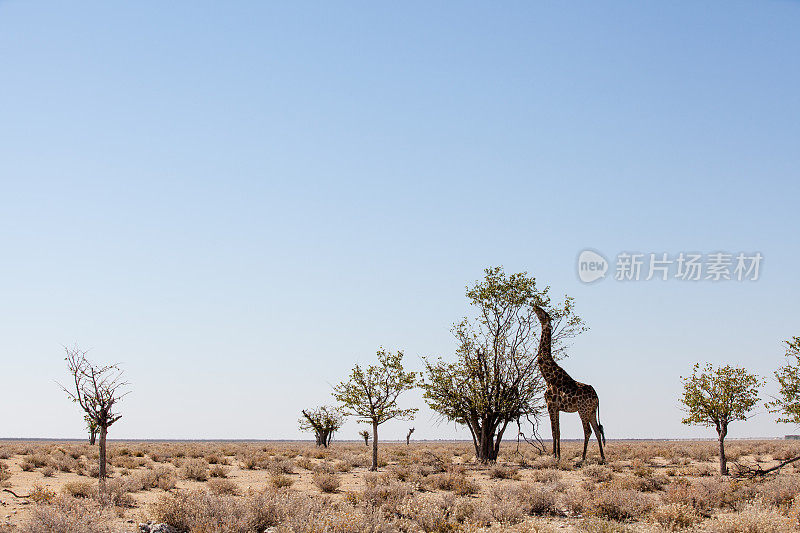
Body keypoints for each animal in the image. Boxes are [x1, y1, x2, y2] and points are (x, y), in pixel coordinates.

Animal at [536, 304, 604, 462]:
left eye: (543, 313)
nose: (534, 306)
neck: (548, 377)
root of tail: (597, 398)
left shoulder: (550, 405)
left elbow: (554, 431)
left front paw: (554, 455)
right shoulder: (557, 408)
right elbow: (558, 431)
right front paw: (558, 455)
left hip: (583, 410)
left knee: (588, 431)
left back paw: (583, 458)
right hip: (592, 411)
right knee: (597, 430)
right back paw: (603, 457)